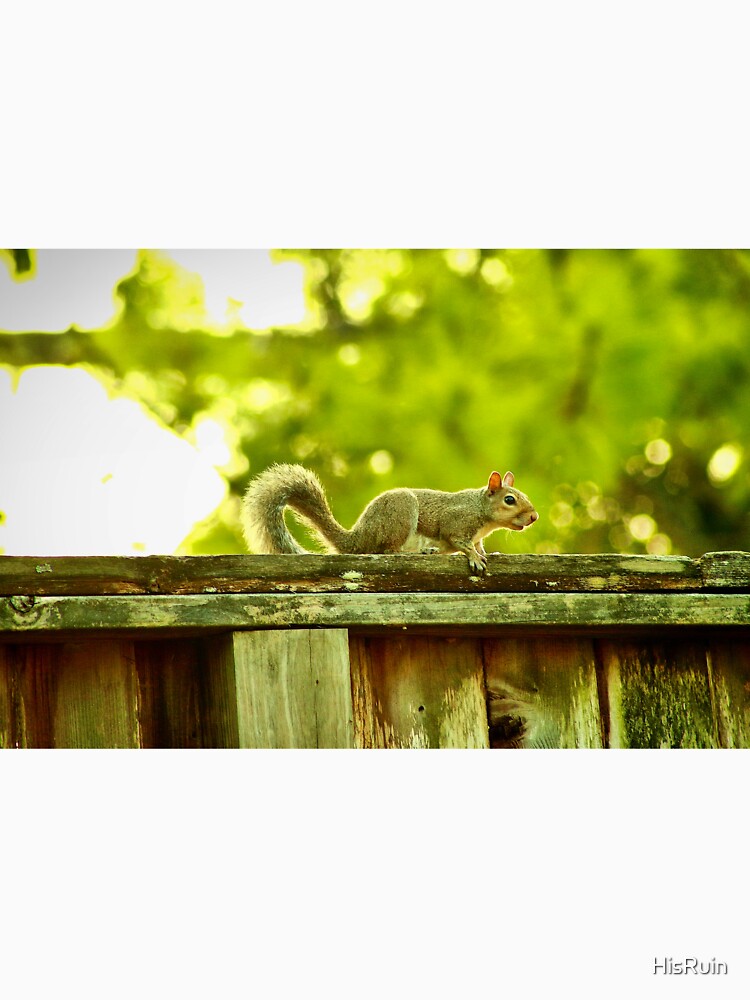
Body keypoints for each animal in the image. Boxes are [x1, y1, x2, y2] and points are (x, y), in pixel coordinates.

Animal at [241, 463, 538, 573]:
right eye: (509, 500)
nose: (534, 517)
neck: (482, 513)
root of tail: (357, 538)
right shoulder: (456, 523)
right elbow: (460, 542)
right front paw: (475, 558)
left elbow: (476, 545)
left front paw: (490, 553)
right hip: (401, 515)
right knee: (387, 550)